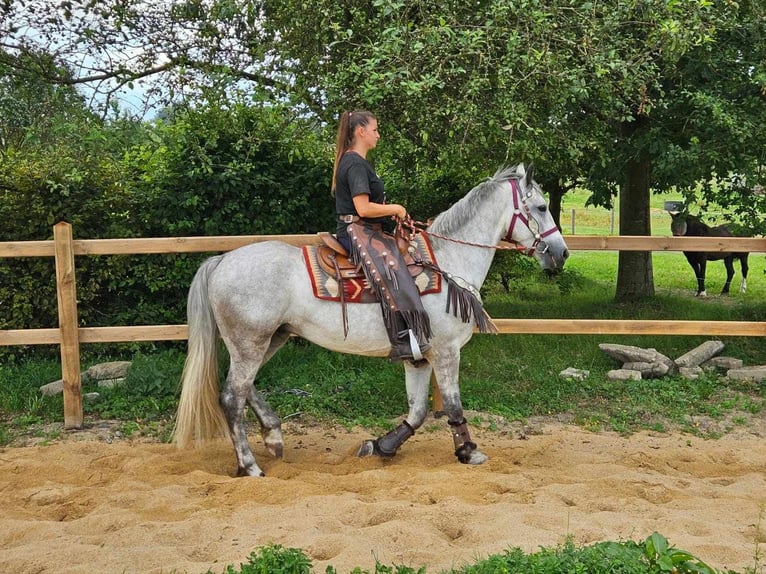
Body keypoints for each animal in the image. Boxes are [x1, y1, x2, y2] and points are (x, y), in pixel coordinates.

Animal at [174, 164, 568, 480]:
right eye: (541, 207)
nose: (561, 253)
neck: (448, 260)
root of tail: (222, 261)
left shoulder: (419, 355)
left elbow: (418, 411)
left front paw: (381, 446)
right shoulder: (446, 351)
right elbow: (453, 404)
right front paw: (468, 451)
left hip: (270, 339)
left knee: (243, 388)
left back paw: (273, 437)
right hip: (251, 342)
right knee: (232, 396)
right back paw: (250, 465)